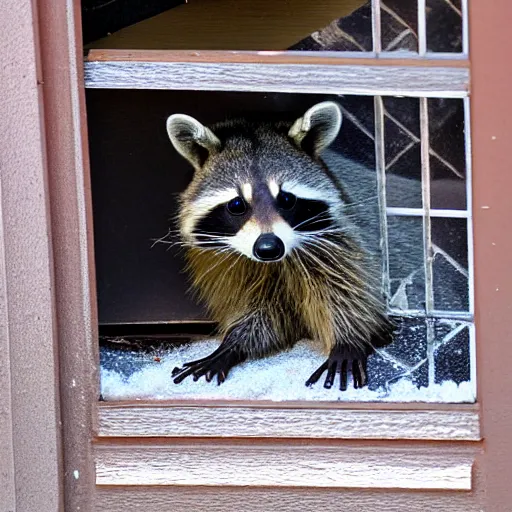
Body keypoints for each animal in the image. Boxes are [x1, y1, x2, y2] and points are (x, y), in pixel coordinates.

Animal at [166, 102, 398, 390]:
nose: (268, 248)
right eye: (237, 205)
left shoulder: (342, 244)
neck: (275, 262)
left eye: (286, 199)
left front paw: (349, 339)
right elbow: (266, 316)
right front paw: (232, 344)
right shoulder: (236, 267)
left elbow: (349, 294)